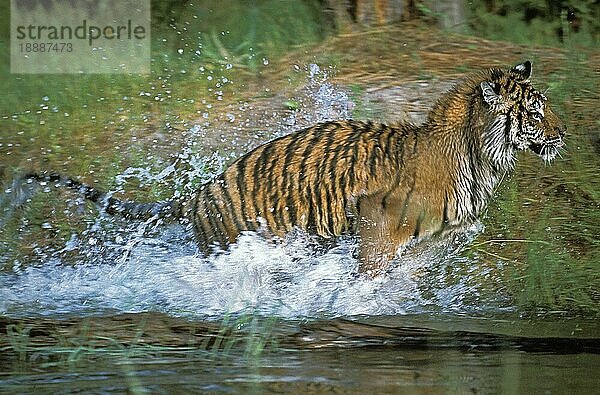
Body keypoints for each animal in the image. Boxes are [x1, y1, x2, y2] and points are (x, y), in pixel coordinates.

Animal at [22, 60, 568, 274]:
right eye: (535, 111)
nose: (563, 134)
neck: (481, 154)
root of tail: (198, 191)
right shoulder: (377, 220)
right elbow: (371, 271)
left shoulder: (440, 234)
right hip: (238, 242)